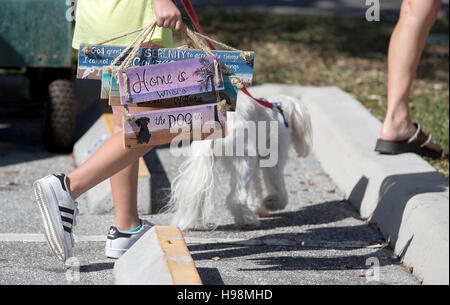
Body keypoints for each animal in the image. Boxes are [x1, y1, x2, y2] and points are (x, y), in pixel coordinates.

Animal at [165, 94, 312, 229]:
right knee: (236, 197)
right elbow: (277, 186)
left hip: (206, 163)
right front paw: (273, 203)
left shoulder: (255, 168)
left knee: (197, 193)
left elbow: (255, 189)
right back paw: (247, 220)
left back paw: (194, 223)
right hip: (244, 161)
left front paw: (259, 208)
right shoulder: (273, 160)